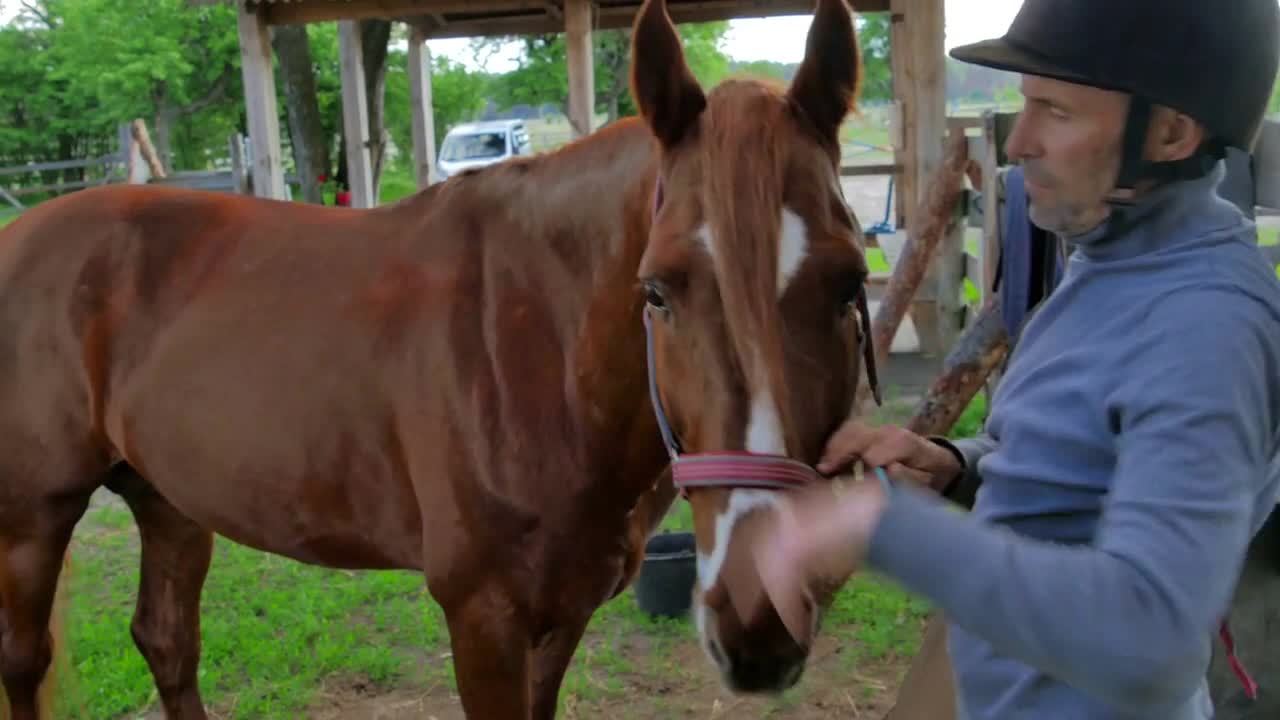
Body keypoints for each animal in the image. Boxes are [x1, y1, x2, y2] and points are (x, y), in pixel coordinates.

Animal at [0, 2, 870, 712]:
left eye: (850, 283)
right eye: (657, 291)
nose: (760, 615)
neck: (541, 351)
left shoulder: (563, 616)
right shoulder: (483, 618)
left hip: (166, 499)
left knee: (167, 642)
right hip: (32, 521)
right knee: (25, 662)